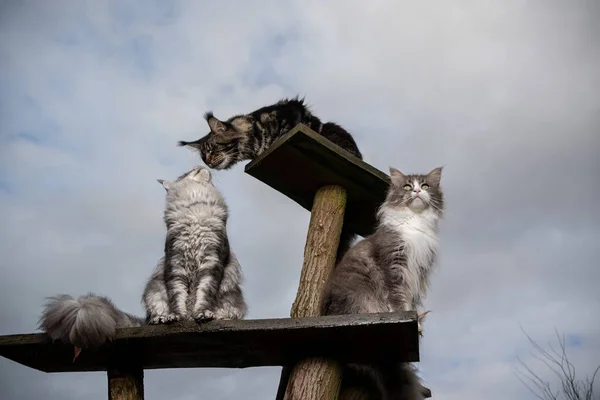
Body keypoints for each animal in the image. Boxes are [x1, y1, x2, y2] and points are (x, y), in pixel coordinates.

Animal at [39, 165, 246, 356]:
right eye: (189, 171)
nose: (201, 165)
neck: (195, 208)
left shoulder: (212, 261)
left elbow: (203, 294)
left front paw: (201, 314)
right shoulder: (175, 262)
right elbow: (178, 297)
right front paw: (178, 316)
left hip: (232, 298)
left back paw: (219, 317)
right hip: (154, 290)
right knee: (155, 314)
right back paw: (162, 318)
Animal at [324, 166, 446, 400]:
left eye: (425, 185)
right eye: (407, 186)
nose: (417, 191)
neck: (415, 223)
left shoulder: (418, 273)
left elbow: (409, 302)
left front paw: (416, 323)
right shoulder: (394, 265)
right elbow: (398, 298)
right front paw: (405, 318)